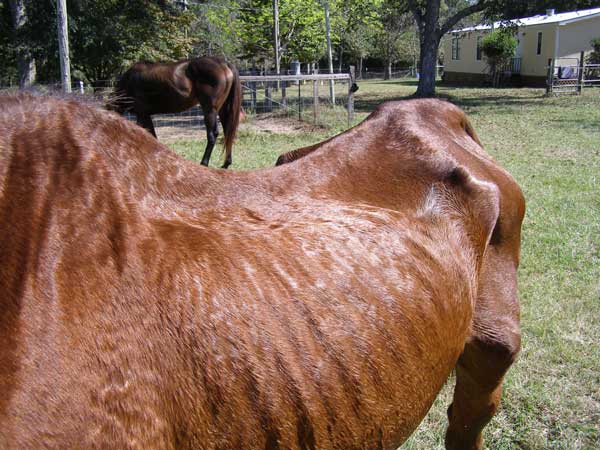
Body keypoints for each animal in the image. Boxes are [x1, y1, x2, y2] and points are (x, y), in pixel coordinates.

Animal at [108, 56, 241, 169]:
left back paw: (204, 163)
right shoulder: (146, 115)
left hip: (210, 110)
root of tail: (223, 64)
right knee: (228, 132)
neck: (129, 81)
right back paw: (226, 164)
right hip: (222, 110)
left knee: (212, 135)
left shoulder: (142, 114)